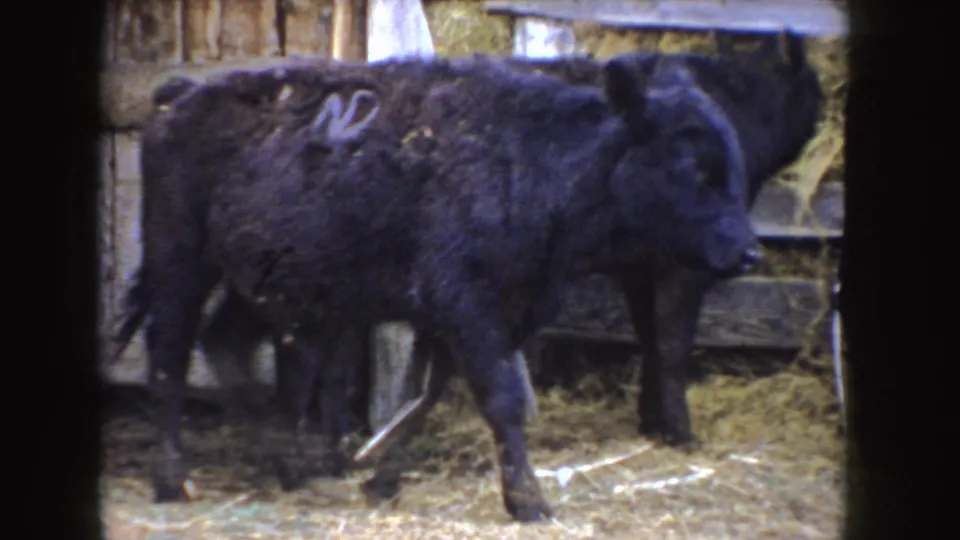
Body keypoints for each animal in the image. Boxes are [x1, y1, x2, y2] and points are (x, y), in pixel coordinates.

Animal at [129, 51, 758, 522]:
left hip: (262, 279)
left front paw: (380, 478)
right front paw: (528, 501)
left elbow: (430, 394)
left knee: (228, 343)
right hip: (179, 262)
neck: (531, 160)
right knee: (169, 357)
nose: (750, 252)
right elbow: (499, 399)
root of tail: (182, 93)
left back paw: (285, 459)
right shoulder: (467, 307)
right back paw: (173, 479)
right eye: (694, 166)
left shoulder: (487, 312)